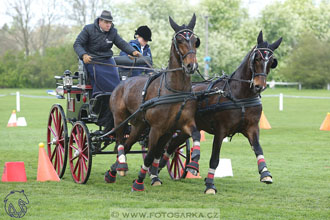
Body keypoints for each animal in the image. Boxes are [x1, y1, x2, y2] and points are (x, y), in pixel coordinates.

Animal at [107, 13, 202, 191]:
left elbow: (195, 135)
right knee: (120, 142)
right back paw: (120, 166)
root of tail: (122, 82)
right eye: (179, 40)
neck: (174, 91)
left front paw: (193, 164)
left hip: (139, 125)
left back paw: (114, 170)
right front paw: (139, 181)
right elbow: (150, 155)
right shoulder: (156, 129)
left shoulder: (175, 127)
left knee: (128, 144)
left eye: (195, 41)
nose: (191, 66)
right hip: (120, 118)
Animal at [159, 30, 282, 194]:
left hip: (186, 128)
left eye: (272, 62)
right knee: (170, 144)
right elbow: (215, 159)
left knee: (173, 146)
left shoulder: (252, 128)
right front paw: (210, 185)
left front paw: (265, 173)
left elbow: (258, 148)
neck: (240, 96)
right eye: (256, 58)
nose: (258, 86)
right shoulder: (220, 131)